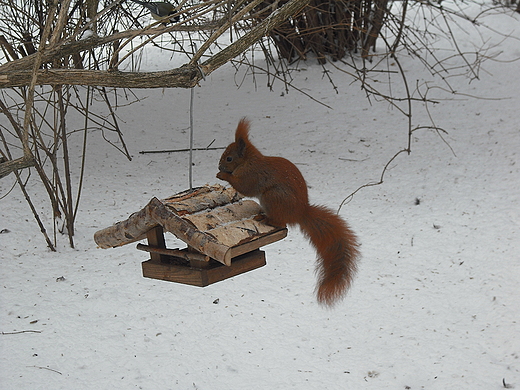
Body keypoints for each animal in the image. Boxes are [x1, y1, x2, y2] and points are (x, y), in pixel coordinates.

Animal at [214, 117, 358, 306]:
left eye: (229, 158)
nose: (219, 166)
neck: (248, 161)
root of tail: (300, 213)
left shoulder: (252, 174)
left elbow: (245, 187)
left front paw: (223, 176)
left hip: (273, 197)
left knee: (280, 222)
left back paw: (265, 219)